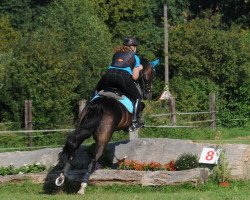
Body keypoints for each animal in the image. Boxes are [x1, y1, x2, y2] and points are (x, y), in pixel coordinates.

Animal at [55, 57, 157, 195]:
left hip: (82, 127)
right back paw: (82, 186)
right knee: (93, 159)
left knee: (73, 148)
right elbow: (140, 107)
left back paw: (61, 177)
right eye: (152, 73)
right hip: (103, 138)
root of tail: (98, 105)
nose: (148, 94)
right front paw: (136, 124)